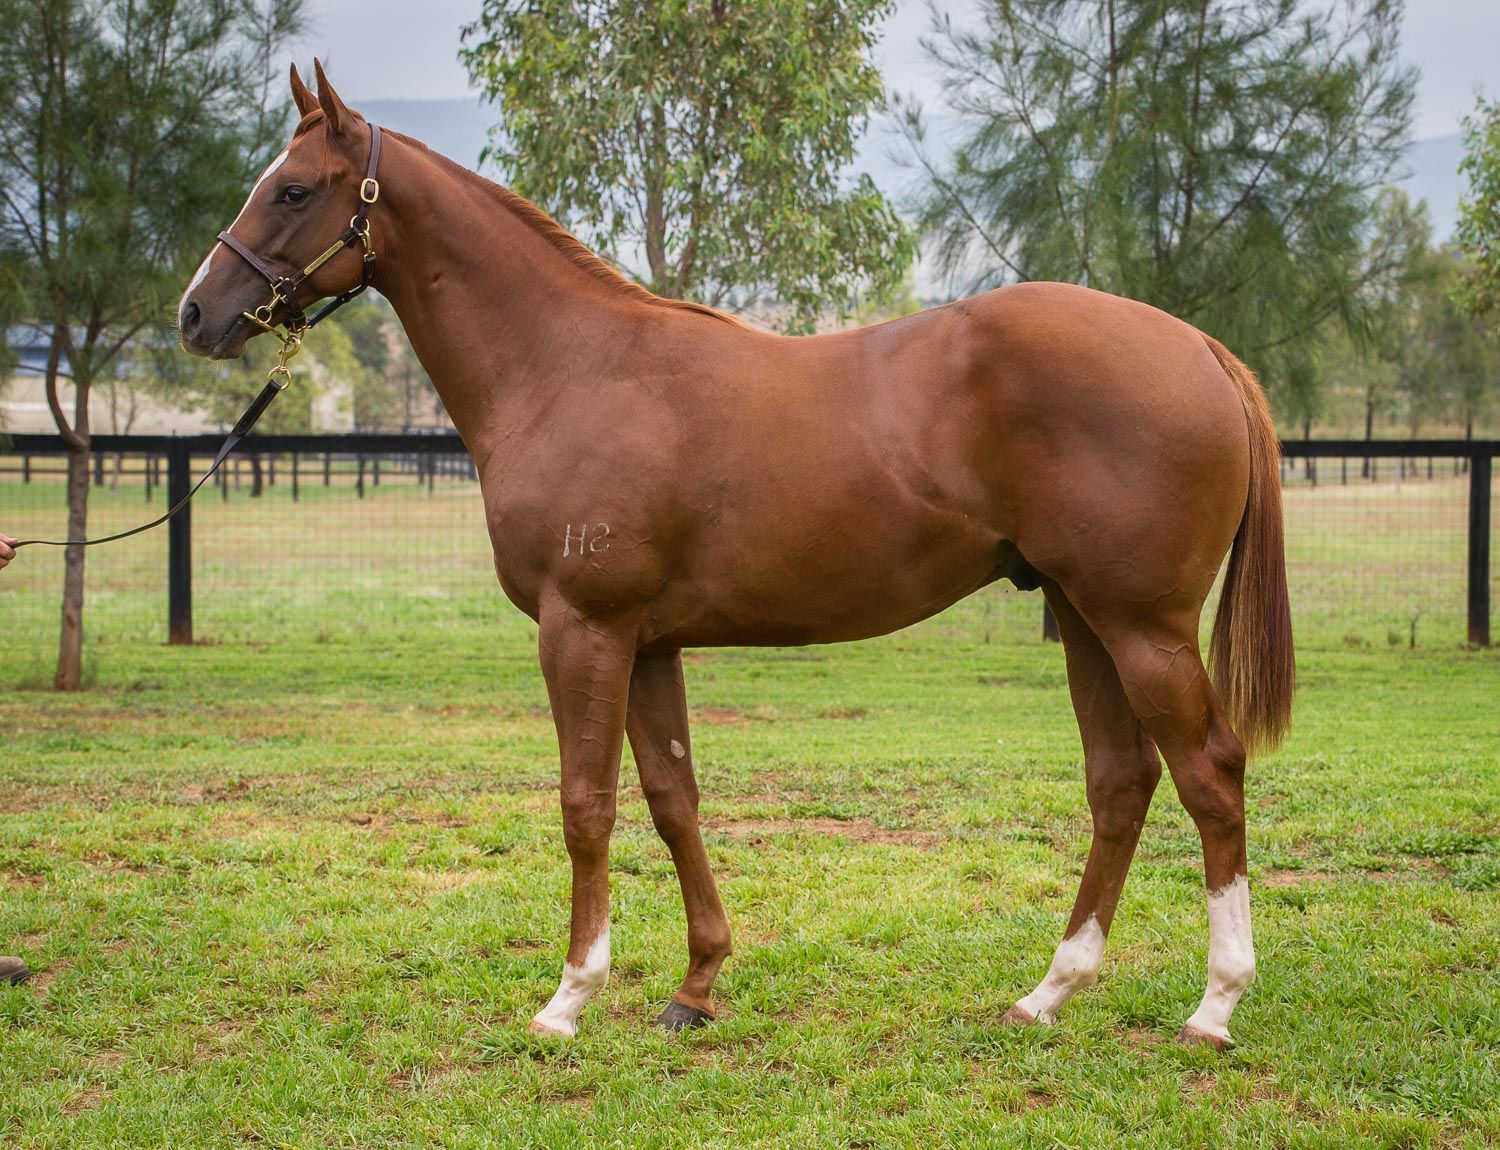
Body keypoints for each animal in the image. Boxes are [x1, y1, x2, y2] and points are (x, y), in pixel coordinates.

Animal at [178, 62, 1293, 1049]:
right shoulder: (649, 643)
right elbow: (673, 801)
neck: (572, 368)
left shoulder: (582, 629)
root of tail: (1201, 350)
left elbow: (587, 805)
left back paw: (1215, 1006)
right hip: (1081, 612)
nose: (197, 312)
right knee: (1121, 781)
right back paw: (1047, 994)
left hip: (1141, 625)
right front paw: (696, 986)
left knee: (1209, 773)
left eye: (292, 187)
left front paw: (569, 998)